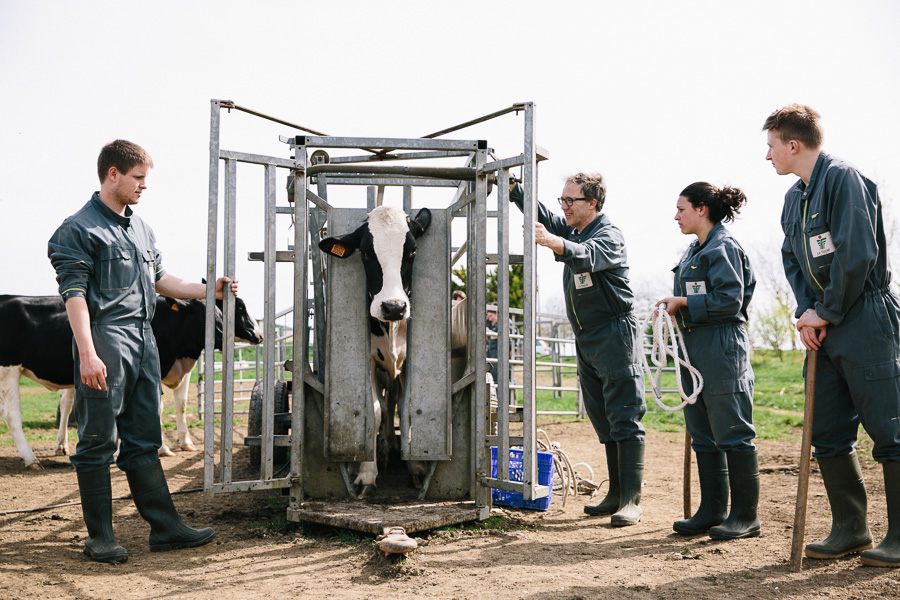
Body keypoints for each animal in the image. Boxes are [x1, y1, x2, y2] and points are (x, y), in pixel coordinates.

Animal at [320, 205, 432, 496]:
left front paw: (415, 466)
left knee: (392, 402)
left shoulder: (407, 362)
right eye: (366, 252)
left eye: (412, 250)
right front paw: (367, 474)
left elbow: (405, 407)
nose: (393, 307)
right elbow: (375, 411)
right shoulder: (368, 362)